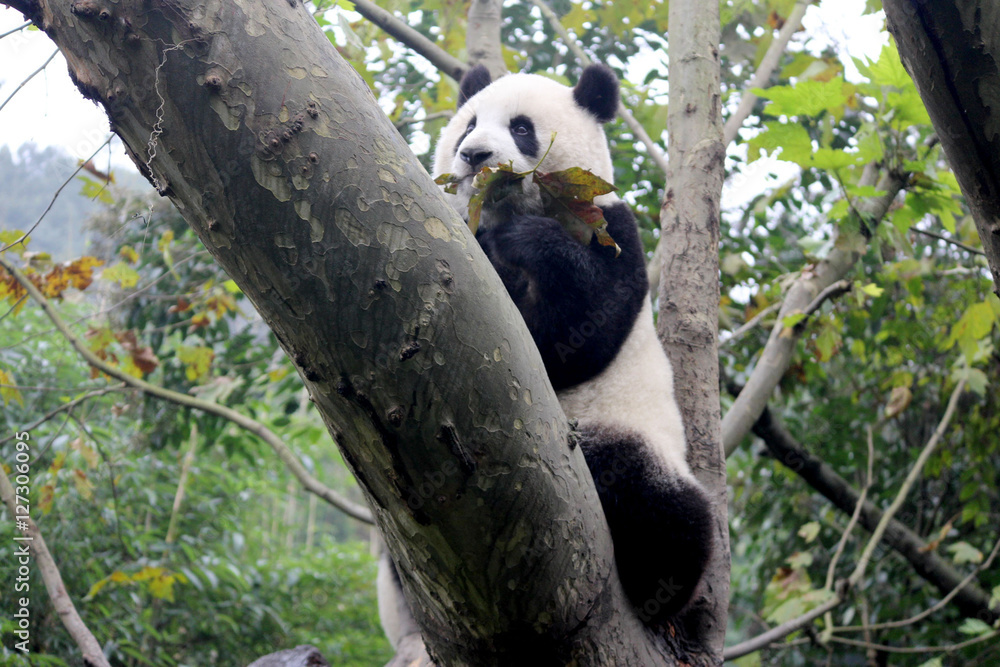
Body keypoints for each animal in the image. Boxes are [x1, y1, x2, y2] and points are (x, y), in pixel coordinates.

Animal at [378, 64, 714, 647]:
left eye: (522, 129)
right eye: (469, 124)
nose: (475, 156)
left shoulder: (609, 227)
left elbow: (579, 332)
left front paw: (527, 240)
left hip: (631, 433)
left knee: (660, 503)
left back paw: (658, 587)